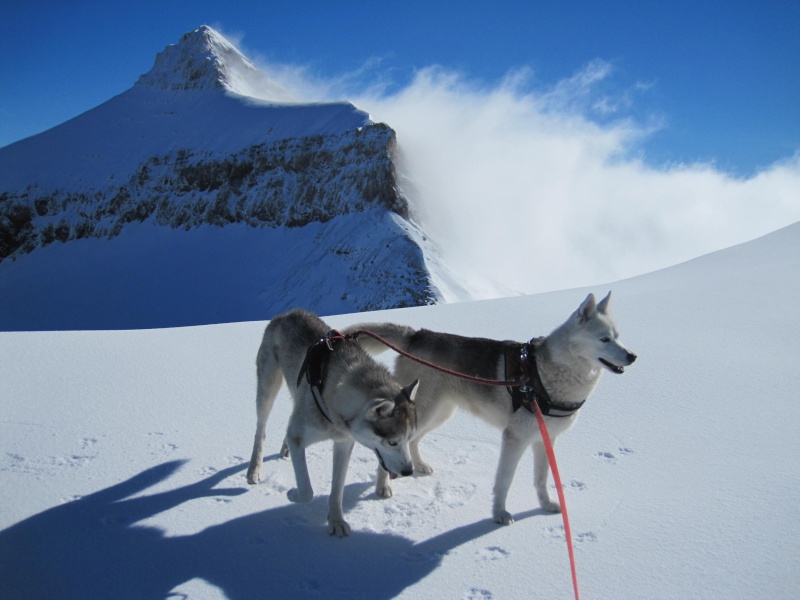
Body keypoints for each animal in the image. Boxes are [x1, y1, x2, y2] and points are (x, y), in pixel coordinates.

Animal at [245, 308, 418, 536]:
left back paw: (284, 449)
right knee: (260, 429)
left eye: (409, 438)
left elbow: (337, 489)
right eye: (392, 442)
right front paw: (293, 494)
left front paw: (336, 521)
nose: (409, 471)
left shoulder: (343, 443)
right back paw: (254, 469)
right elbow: (307, 490)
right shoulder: (299, 436)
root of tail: (289, 313)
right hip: (267, 388)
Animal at [350, 292, 636, 524]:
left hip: (439, 413)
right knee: (393, 447)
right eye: (604, 339)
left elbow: (542, 479)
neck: (546, 374)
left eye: (618, 337)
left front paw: (545, 505)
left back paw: (419, 467)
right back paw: (383, 487)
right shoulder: (514, 438)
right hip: (425, 411)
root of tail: (417, 334)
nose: (632, 356)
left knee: (413, 441)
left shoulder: (545, 439)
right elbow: (504, 481)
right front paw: (499, 514)